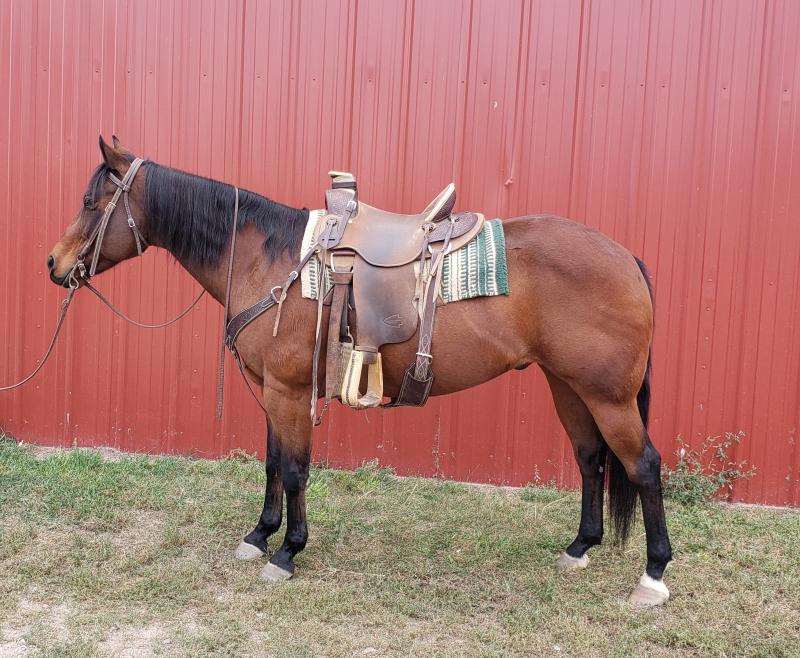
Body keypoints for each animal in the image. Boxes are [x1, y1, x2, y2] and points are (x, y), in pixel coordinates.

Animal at [47, 137, 672, 604]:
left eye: (91, 201)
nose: (53, 263)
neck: (268, 258)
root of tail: (627, 257)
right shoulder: (274, 391)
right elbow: (272, 462)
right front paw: (259, 534)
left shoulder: (291, 391)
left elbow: (294, 469)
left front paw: (287, 551)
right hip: (568, 386)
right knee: (590, 460)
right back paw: (579, 548)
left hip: (608, 396)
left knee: (642, 466)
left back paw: (653, 575)